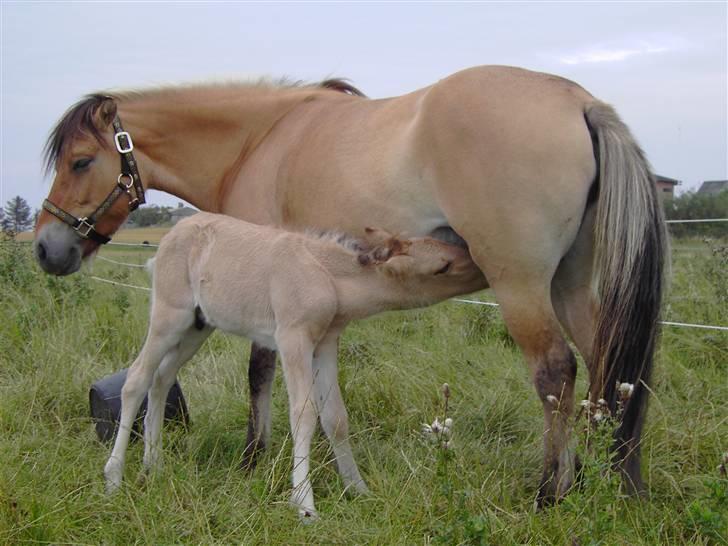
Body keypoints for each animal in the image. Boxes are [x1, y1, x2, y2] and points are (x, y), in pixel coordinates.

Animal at [104, 210, 484, 516]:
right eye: (443, 265)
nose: (482, 268)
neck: (327, 274)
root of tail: (170, 237)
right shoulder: (293, 338)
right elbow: (303, 413)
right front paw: (304, 504)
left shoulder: (326, 343)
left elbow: (336, 418)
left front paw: (358, 489)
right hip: (169, 317)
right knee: (137, 378)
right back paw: (114, 478)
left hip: (199, 325)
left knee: (162, 378)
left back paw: (153, 465)